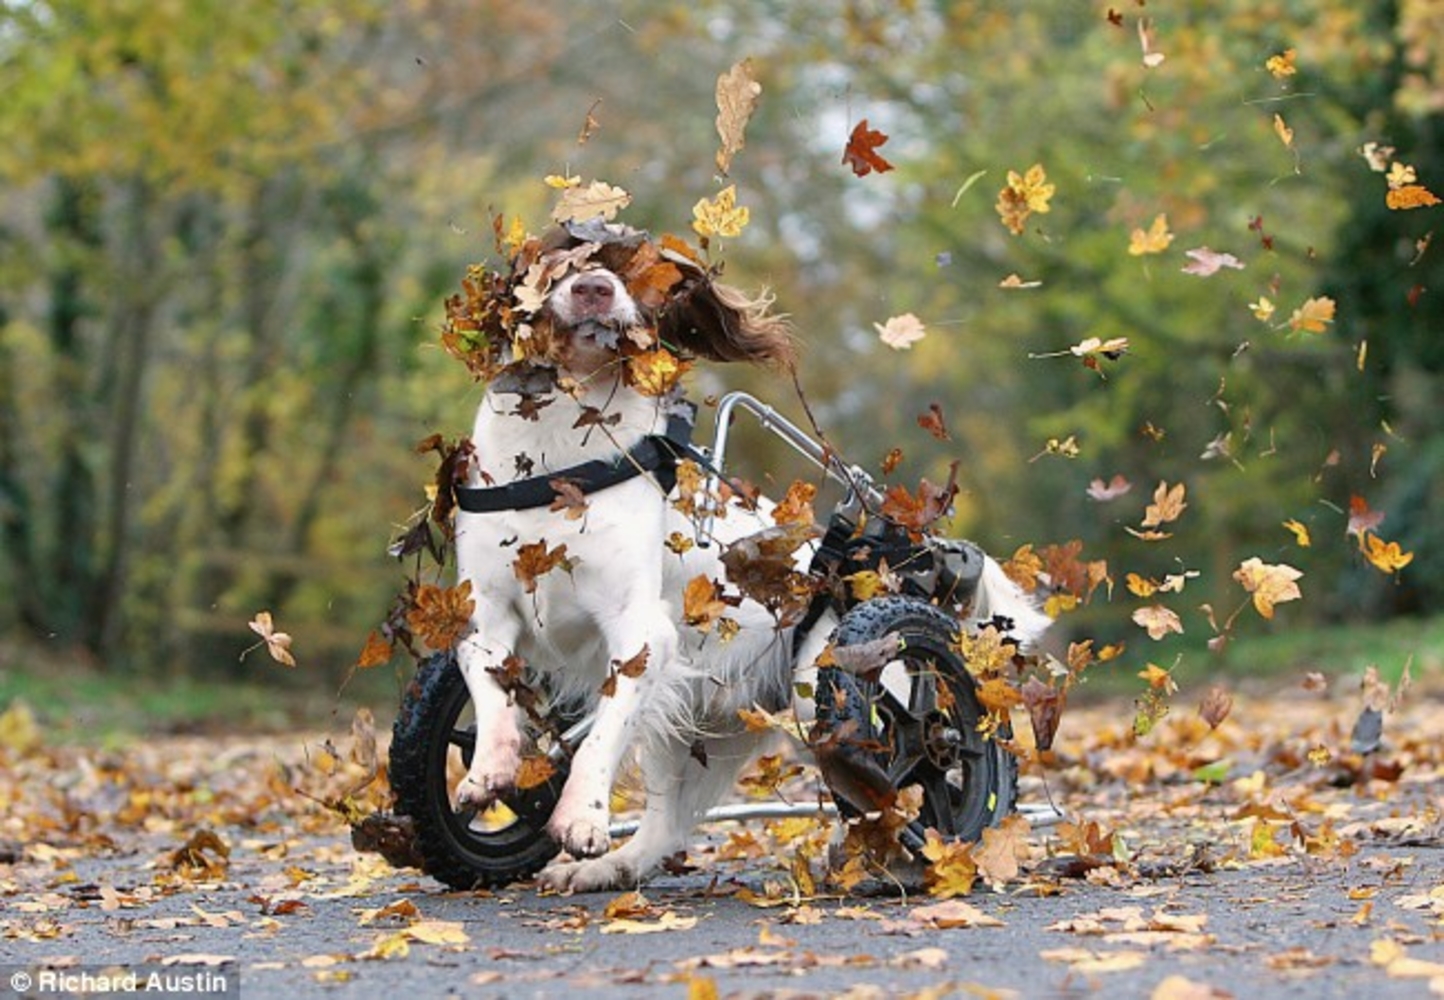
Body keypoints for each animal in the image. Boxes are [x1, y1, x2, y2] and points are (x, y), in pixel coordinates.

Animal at [444, 226, 1045, 888]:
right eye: (557, 258)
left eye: (636, 269)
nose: (594, 289)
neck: (558, 455)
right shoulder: (486, 612)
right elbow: (485, 678)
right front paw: (491, 771)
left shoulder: (640, 632)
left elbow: (601, 735)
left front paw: (581, 817)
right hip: (701, 719)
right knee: (666, 825)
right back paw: (614, 867)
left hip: (837, 679)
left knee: (890, 777)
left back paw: (893, 852)